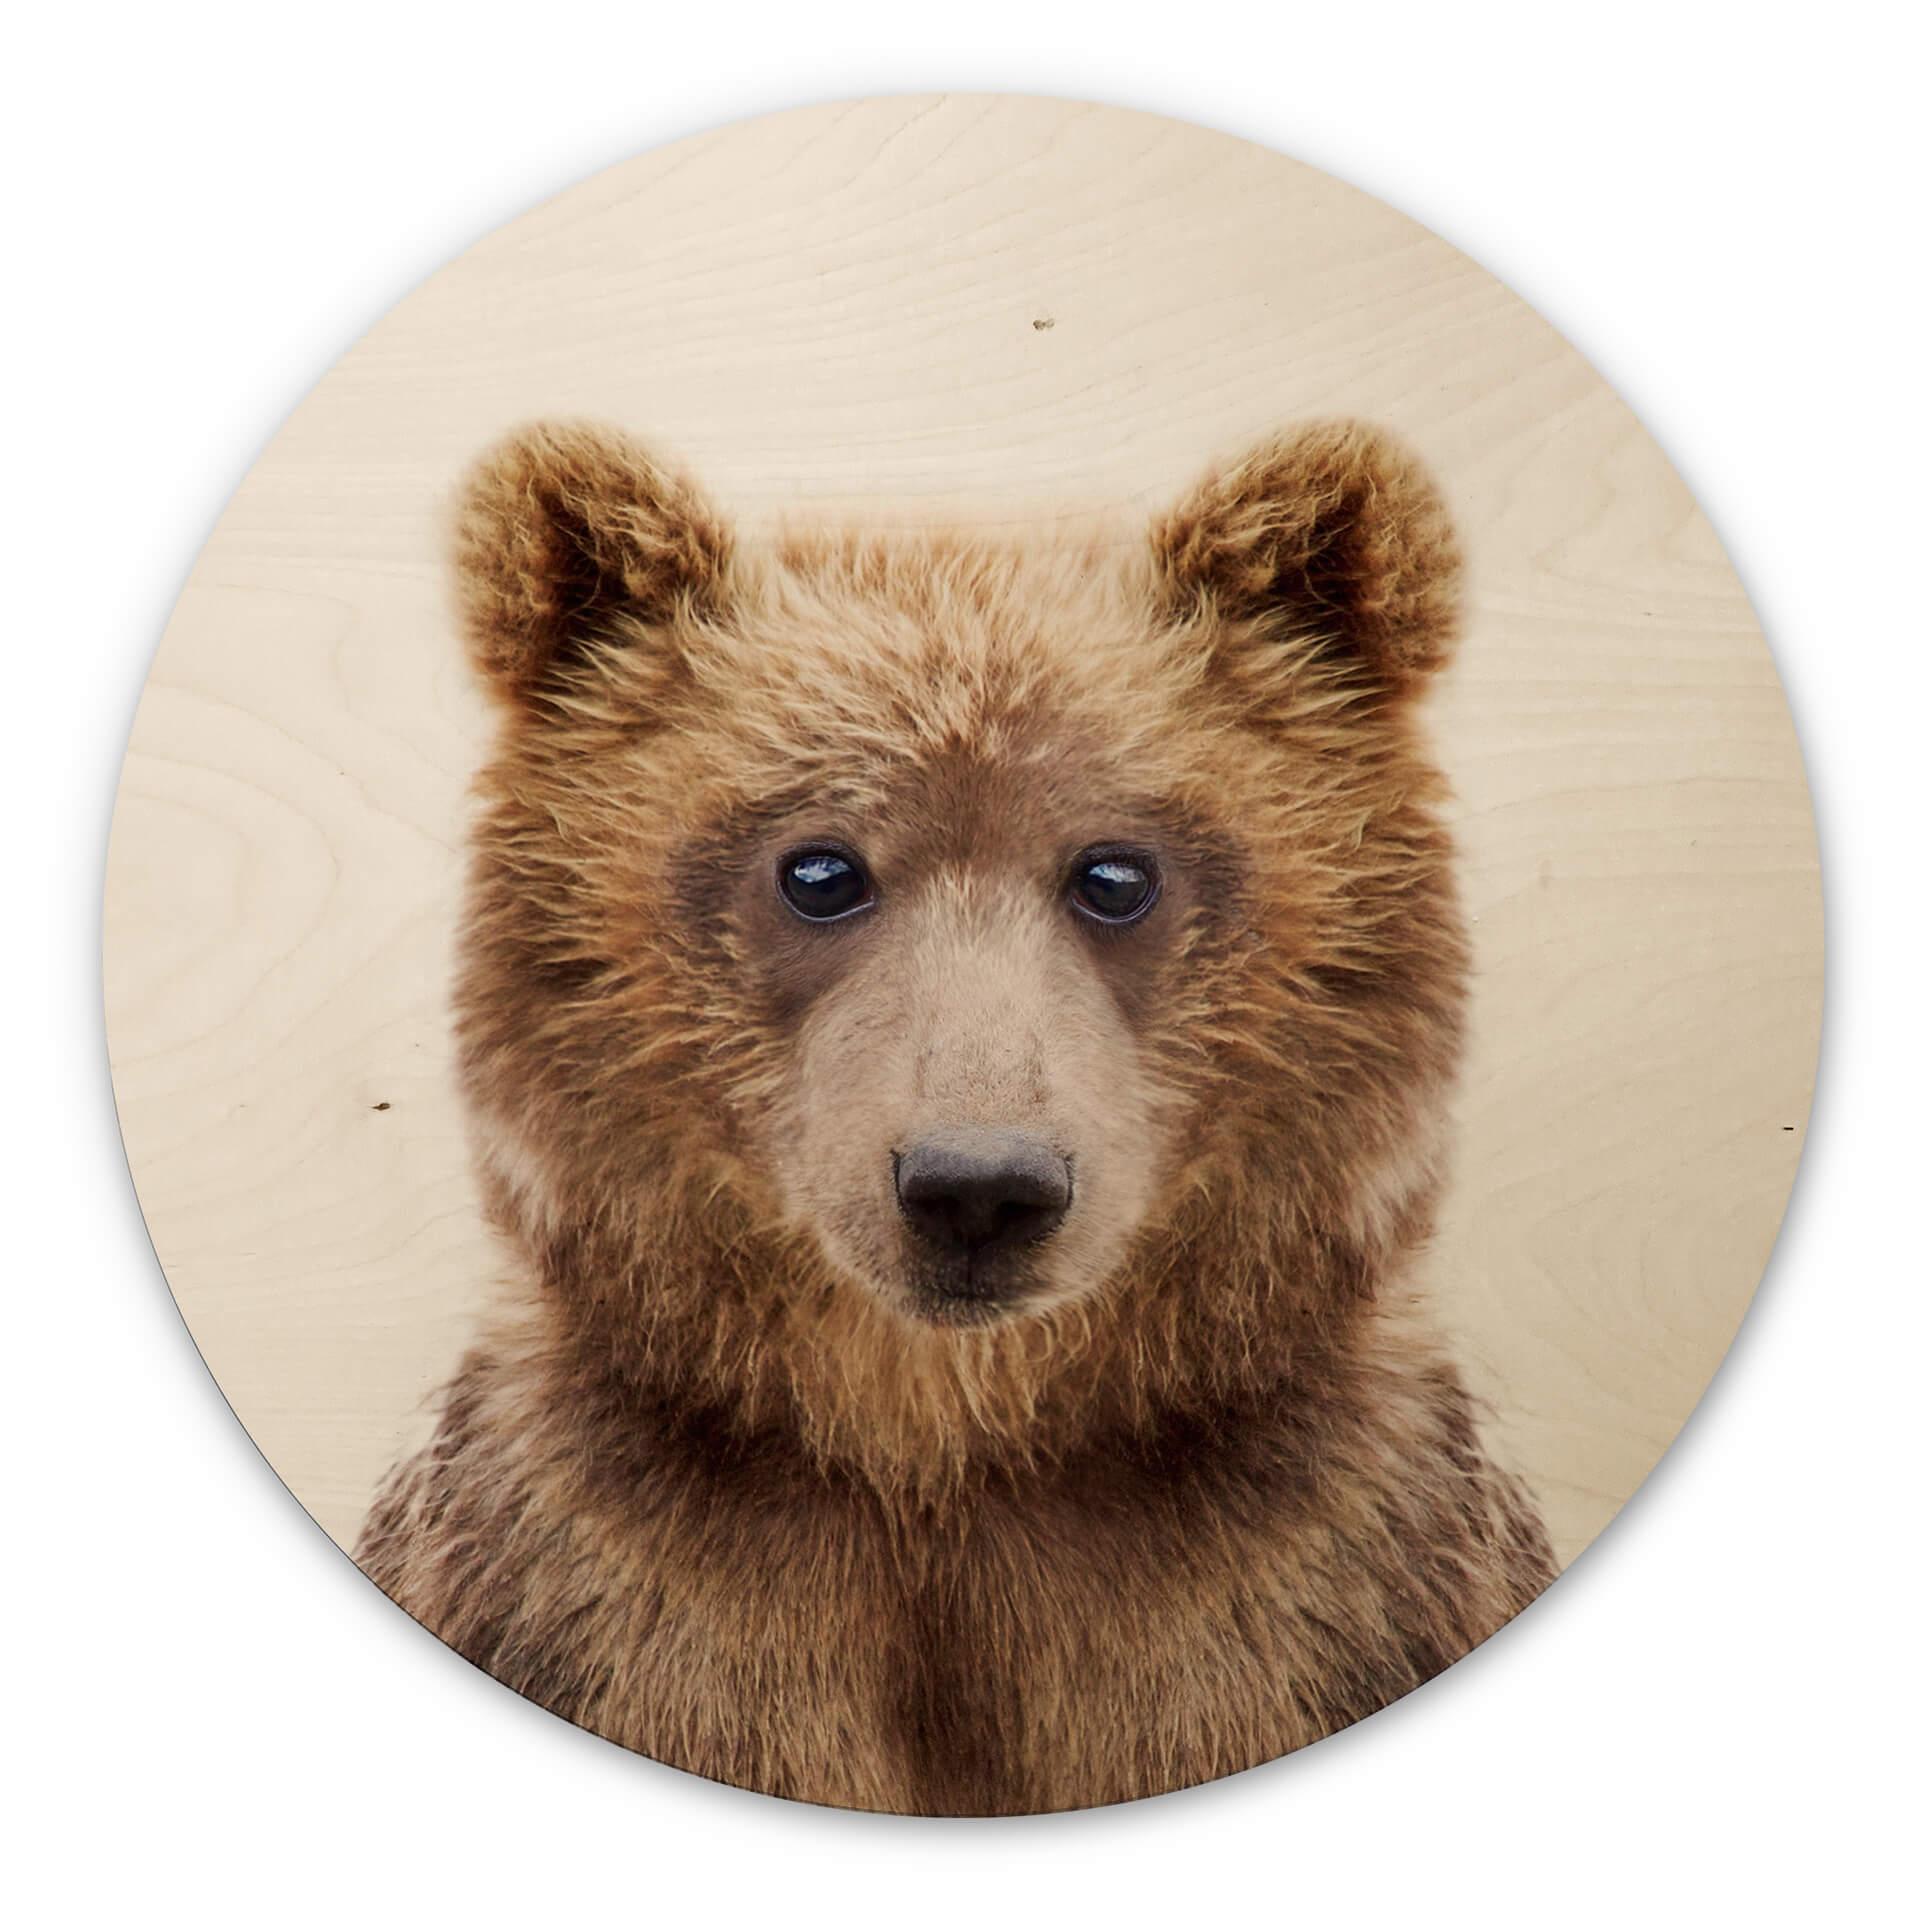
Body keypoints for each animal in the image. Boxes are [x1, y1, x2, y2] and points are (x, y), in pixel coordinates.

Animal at [356, 416, 1557, 1815]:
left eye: (1115, 871)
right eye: (820, 868)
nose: (977, 1188)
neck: (949, 1456)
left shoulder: (1306, 1592)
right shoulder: (614, 1594)